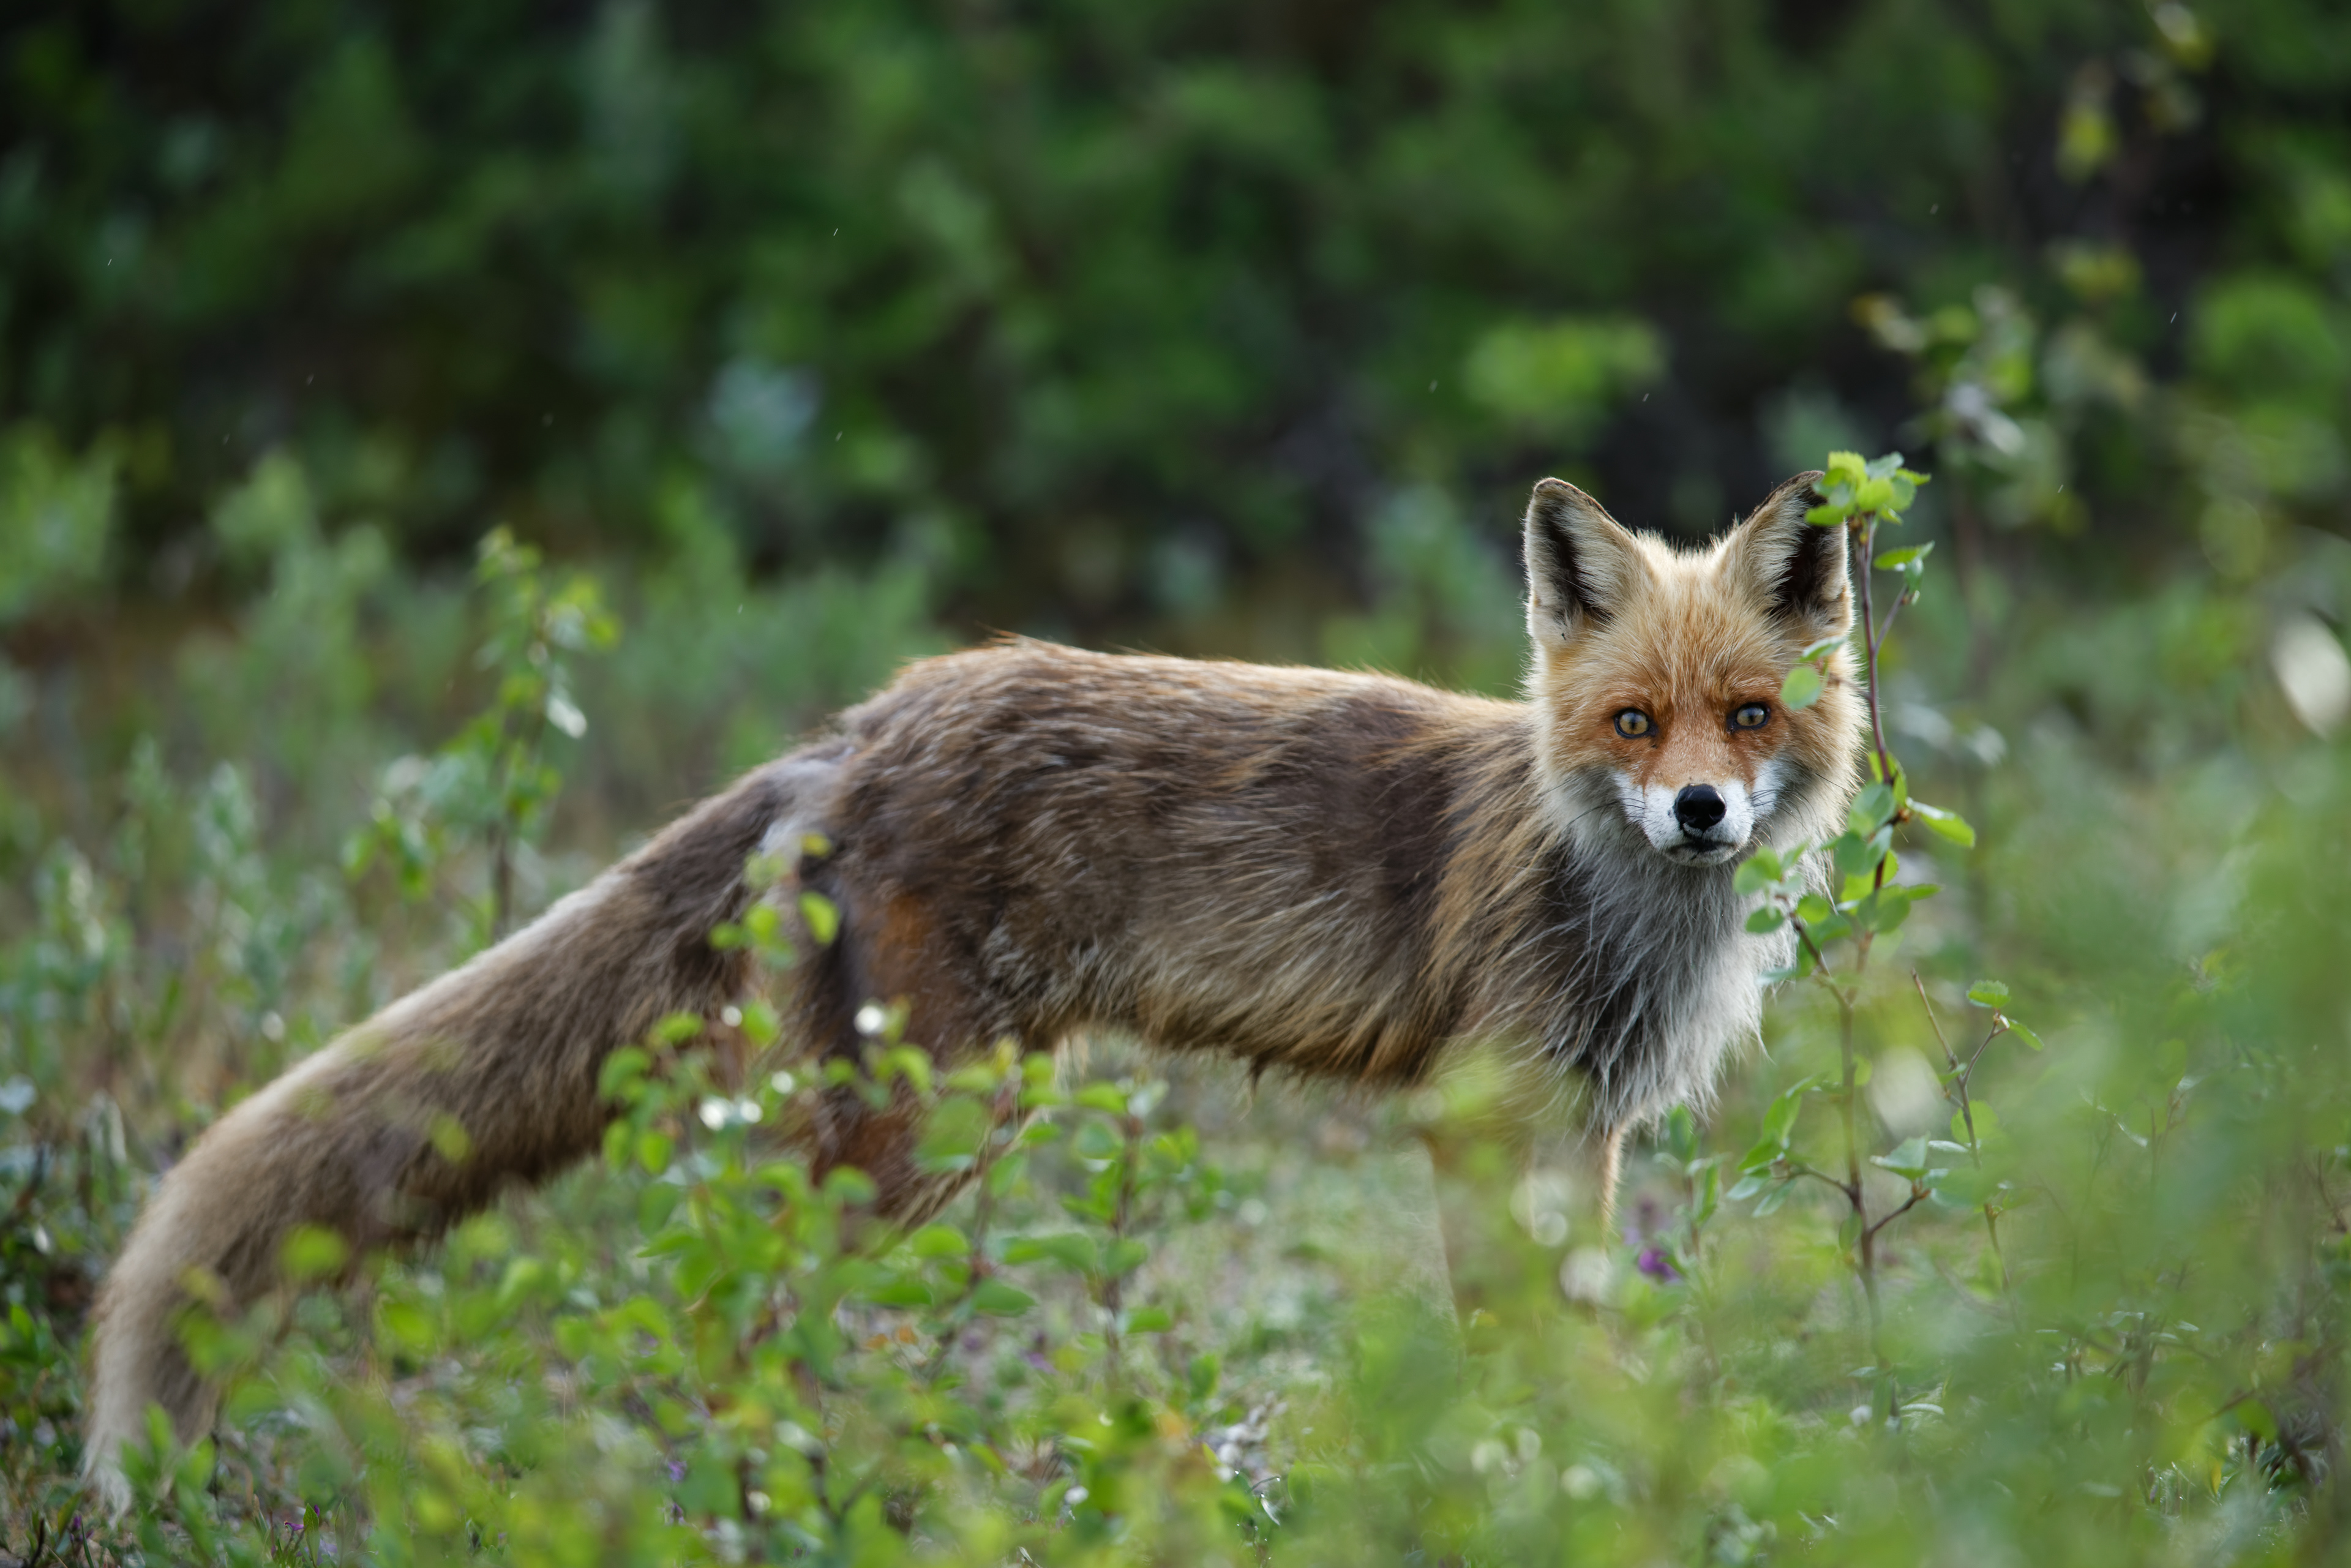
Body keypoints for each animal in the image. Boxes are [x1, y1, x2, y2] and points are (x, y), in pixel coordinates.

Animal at [83, 471, 1864, 1507]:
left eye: (1749, 716)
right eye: (1633, 721)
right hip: (928, 1123)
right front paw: (1533, 1480)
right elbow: (1518, 1348)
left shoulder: (1586, 1129)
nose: (1699, 812)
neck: (1620, 904)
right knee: (739, 1297)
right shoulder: (1481, 1119)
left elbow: (1575, 1335)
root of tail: (865, 721)